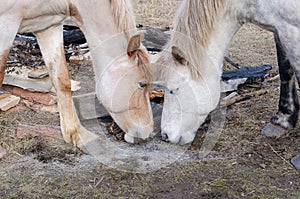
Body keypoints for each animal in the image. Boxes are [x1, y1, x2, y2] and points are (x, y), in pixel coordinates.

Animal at [0, 0, 154, 148]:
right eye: (142, 84)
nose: (146, 134)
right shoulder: (6, 27)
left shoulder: (48, 27)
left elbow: (62, 80)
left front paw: (76, 134)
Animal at [155, 0, 300, 168]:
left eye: (174, 89)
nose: (165, 135)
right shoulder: (280, 29)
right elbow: (285, 69)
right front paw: (283, 120)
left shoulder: (291, 29)